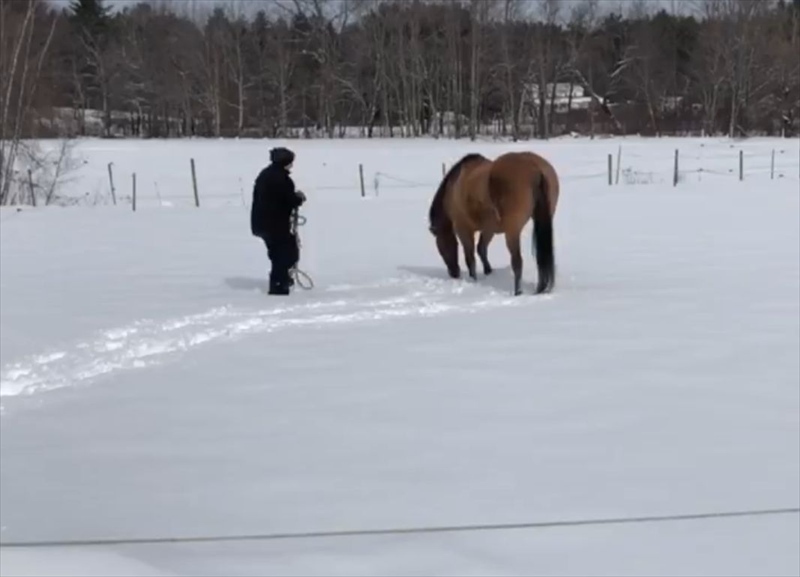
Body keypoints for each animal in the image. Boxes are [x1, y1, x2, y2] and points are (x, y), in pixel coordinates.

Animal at [428, 151, 560, 294]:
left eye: (441, 247)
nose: (454, 273)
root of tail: (535, 168)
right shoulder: (489, 229)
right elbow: (481, 248)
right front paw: (488, 271)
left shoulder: (463, 229)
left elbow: (470, 257)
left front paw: (474, 279)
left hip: (512, 230)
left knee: (517, 261)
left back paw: (517, 292)